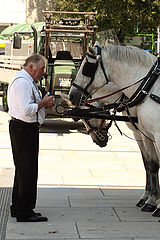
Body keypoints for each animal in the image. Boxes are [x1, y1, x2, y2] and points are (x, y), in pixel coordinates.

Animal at [69, 43, 160, 218]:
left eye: (86, 68)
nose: (72, 95)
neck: (149, 87)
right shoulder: (143, 133)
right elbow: (150, 164)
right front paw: (149, 200)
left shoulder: (156, 135)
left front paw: (156, 204)